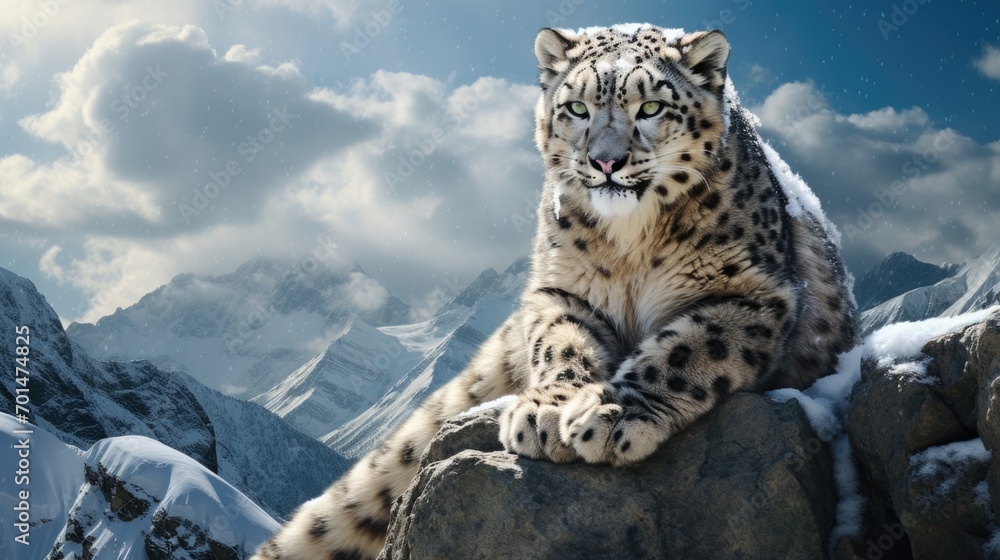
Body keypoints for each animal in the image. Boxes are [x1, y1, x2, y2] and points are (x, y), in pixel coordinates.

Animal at [252, 23, 857, 560]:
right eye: (578, 109)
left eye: (651, 108)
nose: (605, 161)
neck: (632, 241)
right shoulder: (563, 290)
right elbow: (561, 342)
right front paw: (546, 414)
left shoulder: (753, 293)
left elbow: (684, 350)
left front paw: (615, 415)